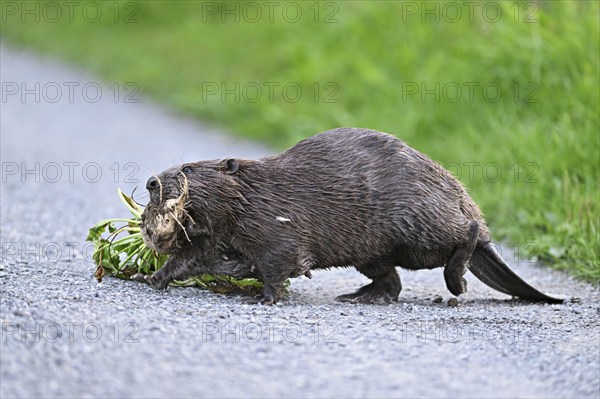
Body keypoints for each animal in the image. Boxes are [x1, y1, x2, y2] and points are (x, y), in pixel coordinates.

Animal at [134, 128, 564, 306]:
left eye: (188, 167)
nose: (152, 182)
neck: (256, 193)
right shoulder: (222, 234)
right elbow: (196, 258)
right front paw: (150, 277)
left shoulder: (274, 222)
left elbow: (281, 260)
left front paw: (264, 298)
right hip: (372, 251)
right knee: (390, 280)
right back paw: (359, 295)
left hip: (419, 222)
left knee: (463, 237)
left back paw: (457, 280)